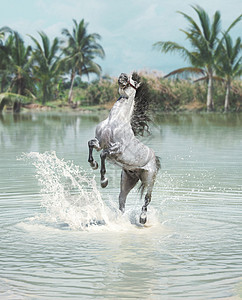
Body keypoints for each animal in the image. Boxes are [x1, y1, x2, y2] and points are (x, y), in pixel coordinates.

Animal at [87, 72, 161, 223]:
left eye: (133, 81)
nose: (123, 76)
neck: (114, 121)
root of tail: (154, 156)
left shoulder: (117, 149)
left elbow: (103, 154)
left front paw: (104, 181)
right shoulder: (100, 143)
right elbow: (90, 144)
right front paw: (93, 164)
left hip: (149, 179)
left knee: (147, 198)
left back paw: (142, 218)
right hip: (127, 180)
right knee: (122, 199)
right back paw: (121, 220)